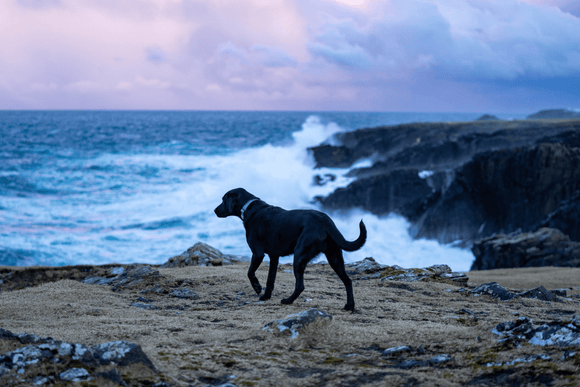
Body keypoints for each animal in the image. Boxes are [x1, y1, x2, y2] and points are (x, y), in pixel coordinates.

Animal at [213, 188, 368, 312]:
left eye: (223, 200)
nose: (214, 210)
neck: (249, 207)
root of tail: (326, 221)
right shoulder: (274, 257)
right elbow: (270, 280)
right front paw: (266, 296)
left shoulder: (257, 253)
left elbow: (250, 272)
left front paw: (257, 287)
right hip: (334, 258)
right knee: (348, 281)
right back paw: (350, 305)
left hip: (299, 256)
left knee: (300, 286)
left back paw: (288, 301)